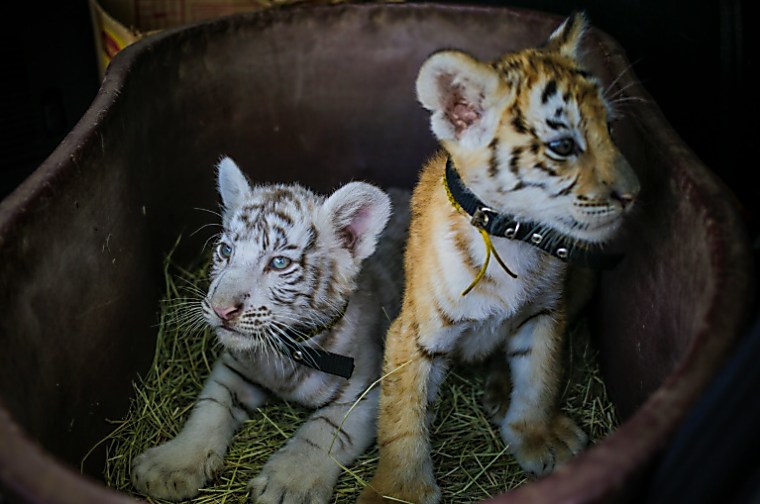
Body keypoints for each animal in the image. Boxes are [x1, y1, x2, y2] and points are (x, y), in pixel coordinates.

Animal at [131, 156, 410, 503]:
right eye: (226, 251)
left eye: (279, 263)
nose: (221, 309)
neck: (284, 352)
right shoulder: (233, 369)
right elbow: (209, 409)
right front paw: (169, 466)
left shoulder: (366, 392)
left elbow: (324, 430)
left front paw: (288, 486)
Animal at [358, 13, 640, 504]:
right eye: (563, 146)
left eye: (610, 128)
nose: (633, 193)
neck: (513, 237)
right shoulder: (414, 333)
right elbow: (401, 414)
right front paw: (399, 490)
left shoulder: (546, 313)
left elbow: (541, 377)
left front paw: (537, 435)